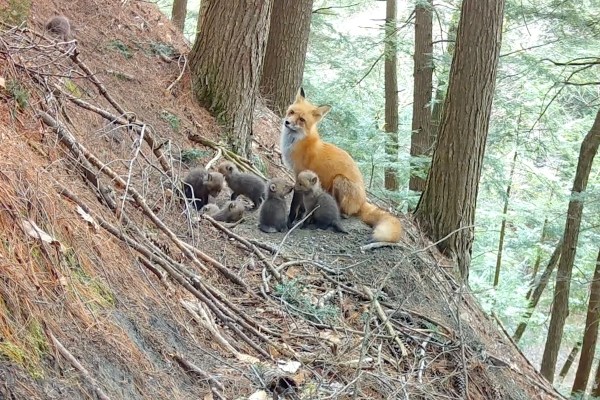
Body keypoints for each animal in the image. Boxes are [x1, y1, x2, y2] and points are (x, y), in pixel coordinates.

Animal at [282, 88, 404, 242]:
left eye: (301, 120)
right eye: (291, 112)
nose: (287, 122)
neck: (296, 142)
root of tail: (363, 200)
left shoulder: (299, 174)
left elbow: (294, 205)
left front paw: (291, 220)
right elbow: (303, 206)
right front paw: (301, 217)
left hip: (339, 180)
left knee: (345, 212)